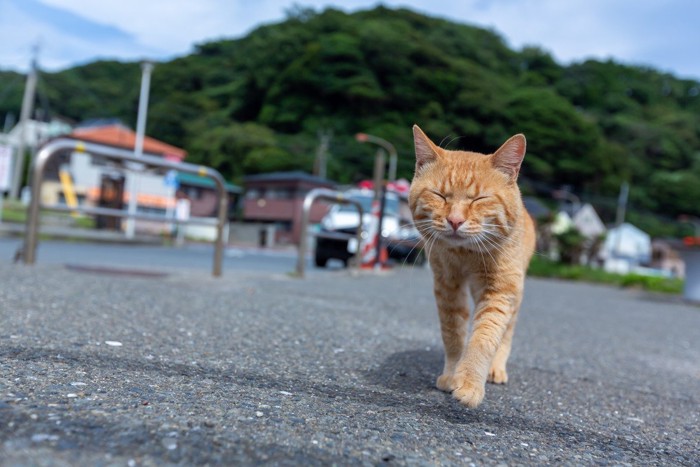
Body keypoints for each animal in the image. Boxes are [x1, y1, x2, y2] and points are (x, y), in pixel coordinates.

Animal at [408, 126, 532, 408]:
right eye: (439, 195)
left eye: (479, 199)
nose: (455, 220)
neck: (466, 255)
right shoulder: (447, 286)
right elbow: (453, 333)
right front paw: (452, 375)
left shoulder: (500, 291)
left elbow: (484, 338)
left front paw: (469, 383)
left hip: (515, 294)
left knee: (507, 334)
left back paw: (496, 369)